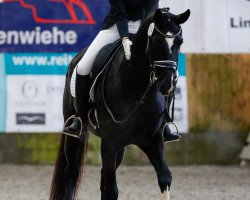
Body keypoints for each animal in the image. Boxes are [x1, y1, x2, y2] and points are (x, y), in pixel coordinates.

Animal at [49, 7, 189, 200]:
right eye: (156, 41)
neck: (137, 88)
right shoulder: (109, 142)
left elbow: (165, 177)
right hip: (76, 135)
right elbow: (111, 189)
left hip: (121, 147)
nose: (168, 85)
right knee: (71, 173)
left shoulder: (153, 140)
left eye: (180, 42)